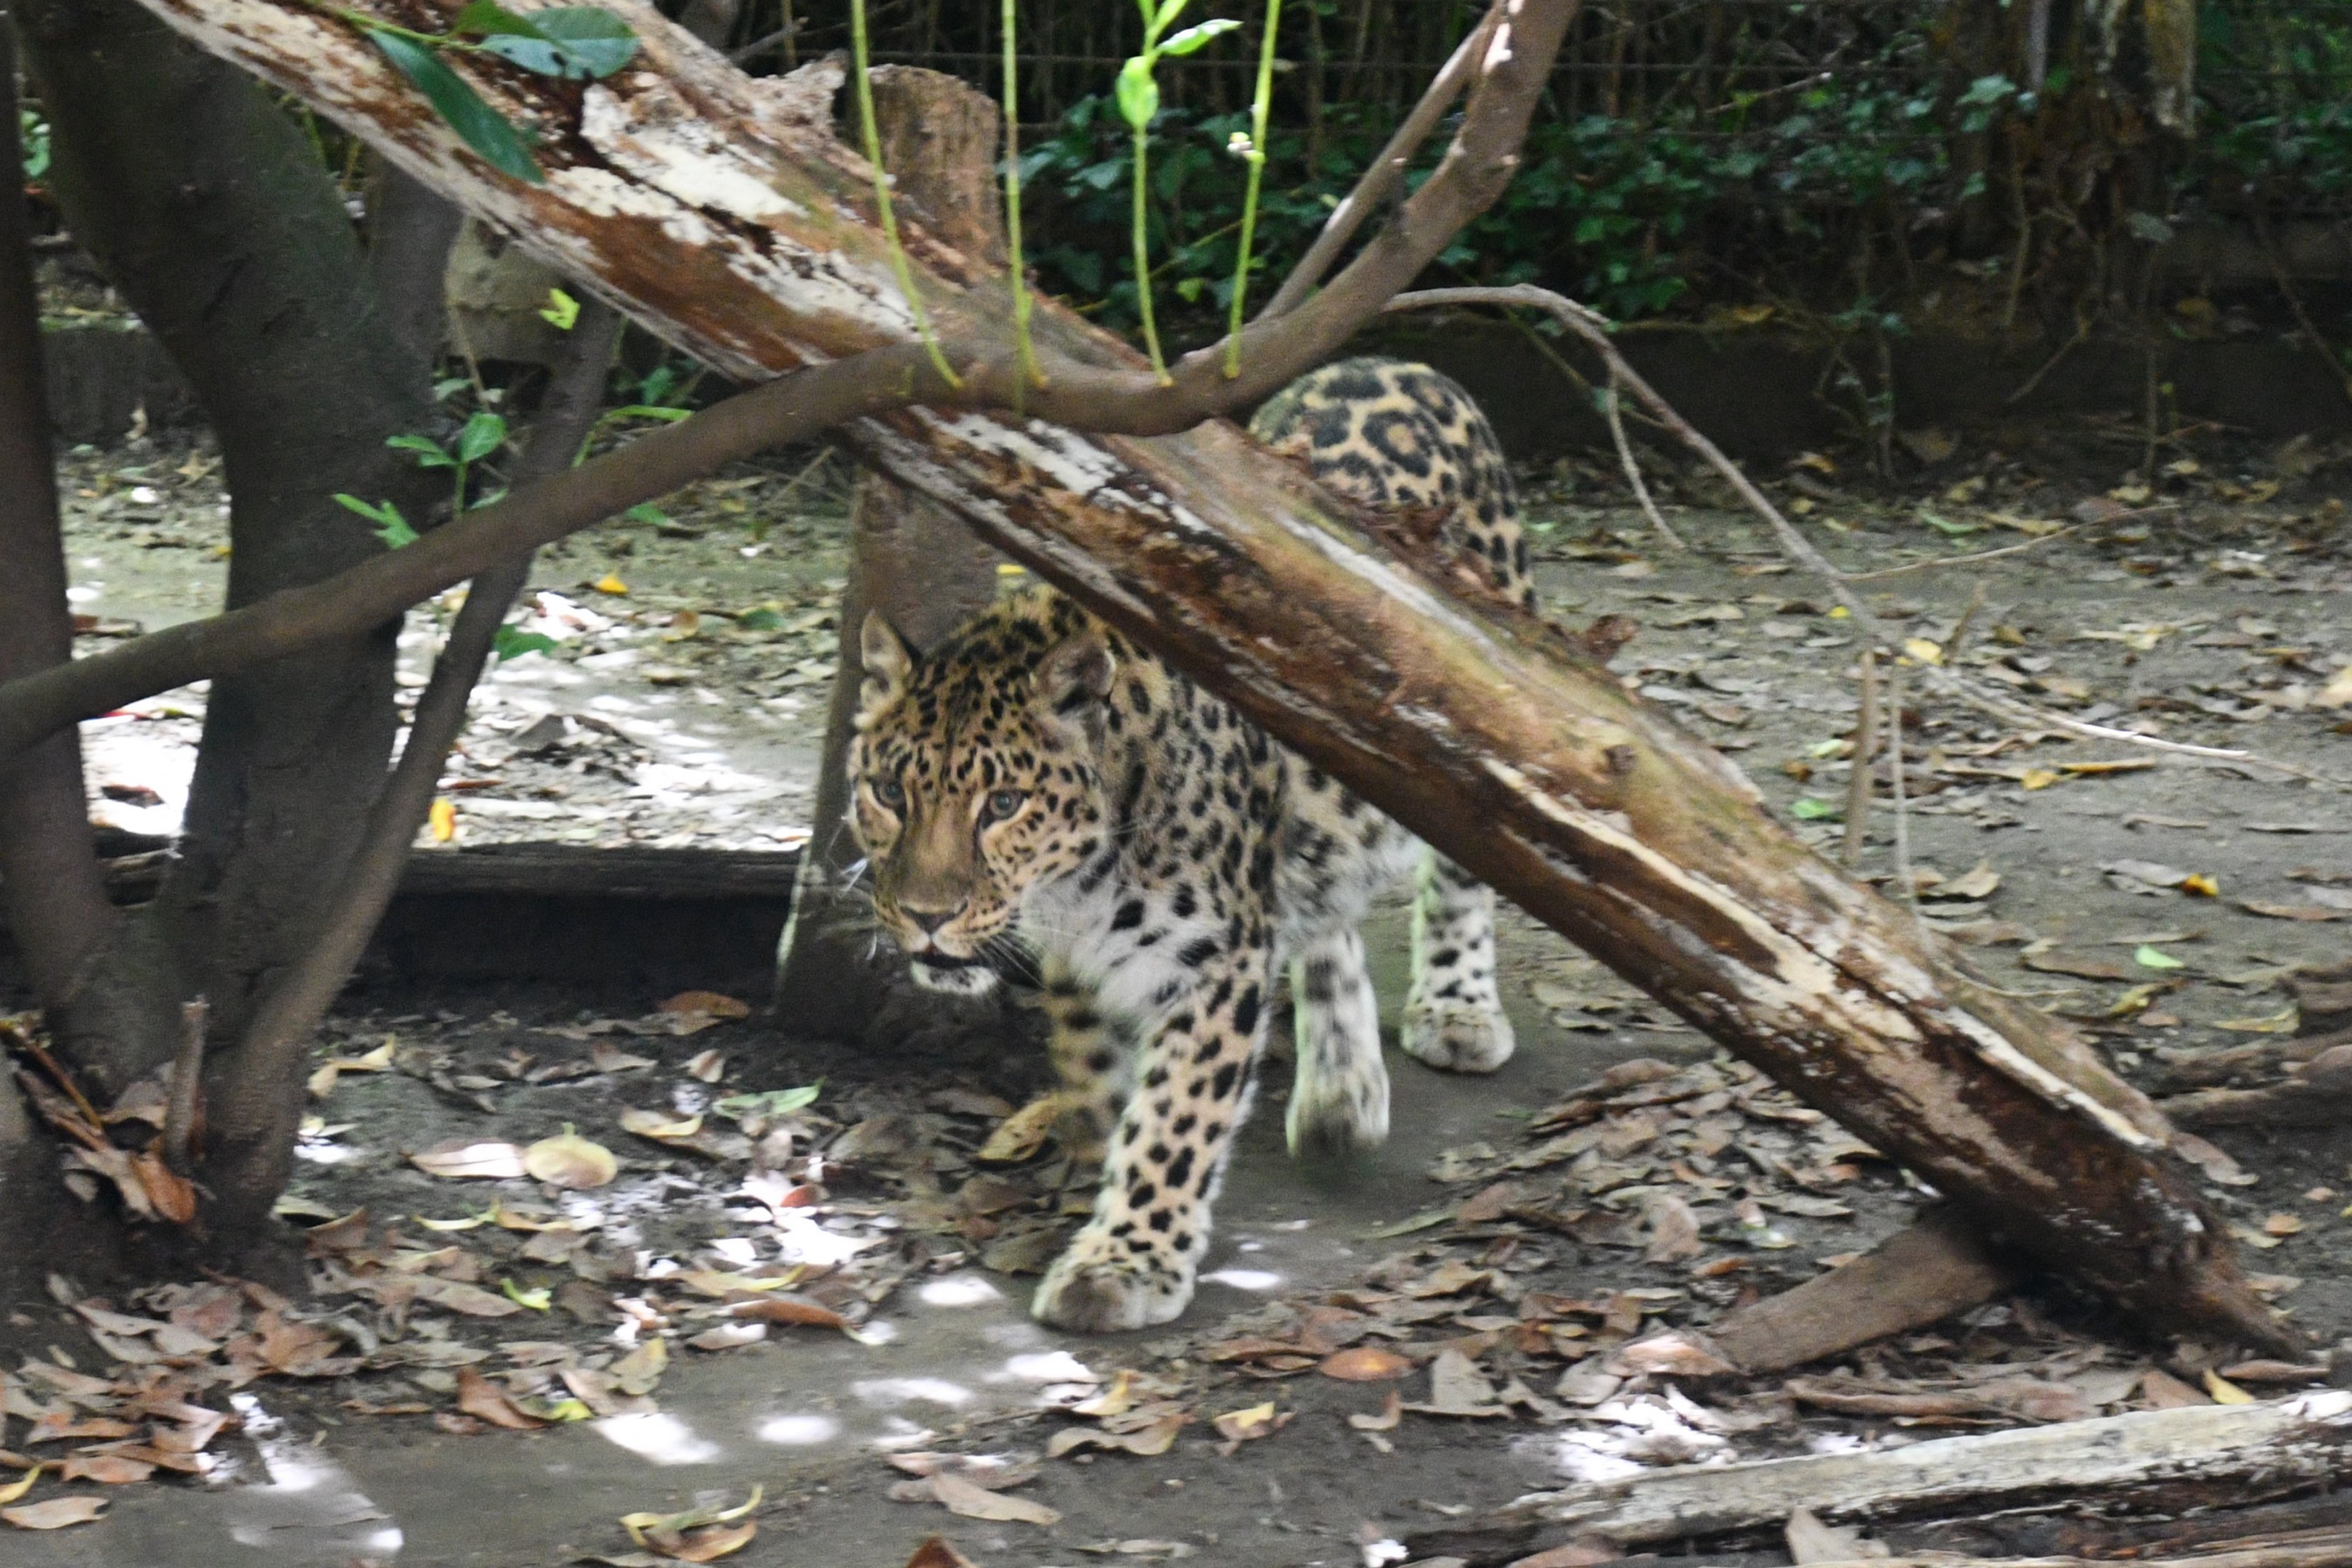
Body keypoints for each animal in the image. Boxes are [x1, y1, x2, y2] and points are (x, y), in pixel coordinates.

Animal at [846, 357, 1531, 1332]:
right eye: (889, 793)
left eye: (1003, 803)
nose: (925, 918)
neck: (1082, 882)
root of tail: (1398, 362)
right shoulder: (1079, 956)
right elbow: (1094, 1073)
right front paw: (1097, 1157)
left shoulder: (1217, 957)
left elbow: (1175, 1118)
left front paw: (1124, 1260)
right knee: (1323, 909)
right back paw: (1340, 1093)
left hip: (1476, 748)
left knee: (1460, 883)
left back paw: (1457, 1010)